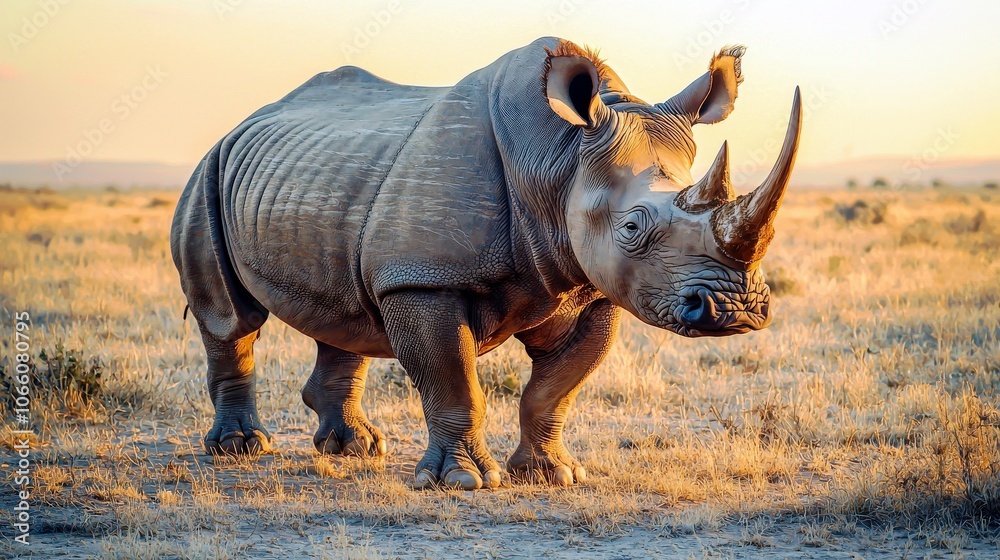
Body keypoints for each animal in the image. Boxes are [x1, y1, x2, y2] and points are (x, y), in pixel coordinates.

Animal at [171, 37, 801, 489]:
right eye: (631, 228)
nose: (736, 310)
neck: (559, 159)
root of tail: (245, 121)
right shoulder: (422, 280)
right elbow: (454, 380)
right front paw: (464, 482)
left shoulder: (589, 286)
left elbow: (557, 387)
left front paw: (552, 475)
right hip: (208, 171)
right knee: (231, 319)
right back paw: (241, 449)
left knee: (344, 311)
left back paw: (355, 448)